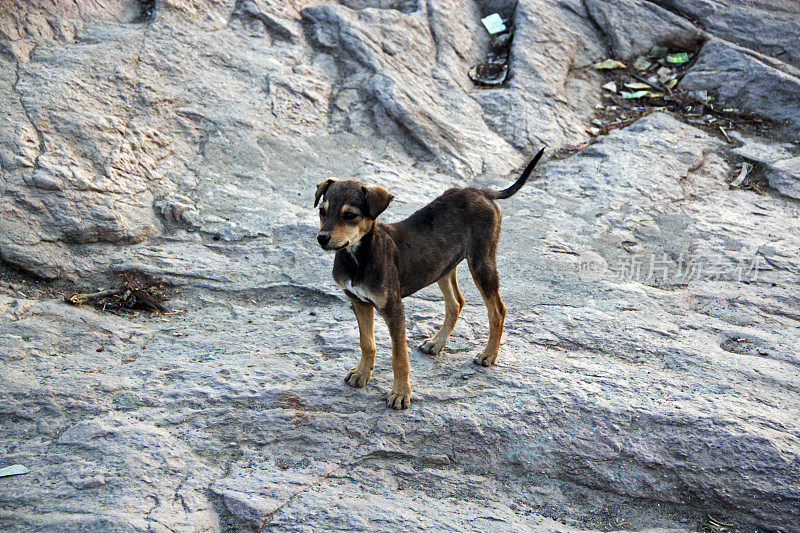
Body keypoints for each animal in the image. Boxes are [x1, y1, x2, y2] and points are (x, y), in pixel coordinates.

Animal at [316, 148, 548, 410]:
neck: (358, 257)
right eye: (322, 211)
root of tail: (481, 191)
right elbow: (367, 343)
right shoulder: (359, 301)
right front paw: (362, 373)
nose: (322, 238)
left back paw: (488, 354)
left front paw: (400, 393)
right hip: (443, 266)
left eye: (350, 215)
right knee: (456, 303)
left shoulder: (394, 309)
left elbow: (399, 357)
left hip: (481, 262)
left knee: (497, 309)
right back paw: (437, 343)